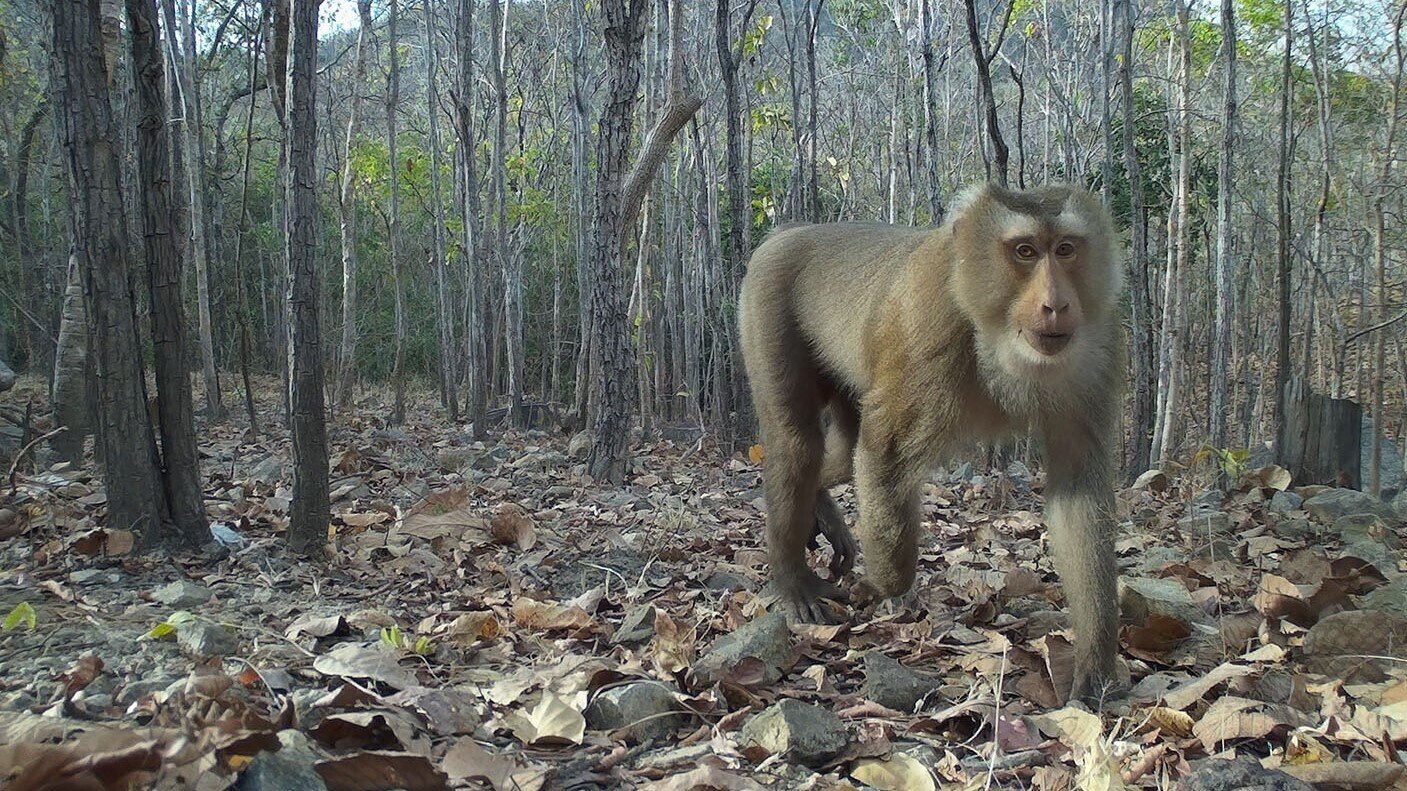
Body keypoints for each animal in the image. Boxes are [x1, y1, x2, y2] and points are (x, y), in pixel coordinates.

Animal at [737, 181, 1119, 698]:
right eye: (1024, 251)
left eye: (1065, 249)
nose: (1056, 304)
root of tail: (792, 231)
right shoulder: (928, 324)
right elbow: (886, 454)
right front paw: (884, 585)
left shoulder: (1098, 345)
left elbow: (1078, 492)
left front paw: (1095, 661)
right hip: (766, 298)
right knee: (798, 443)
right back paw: (792, 579)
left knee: (841, 448)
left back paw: (821, 505)